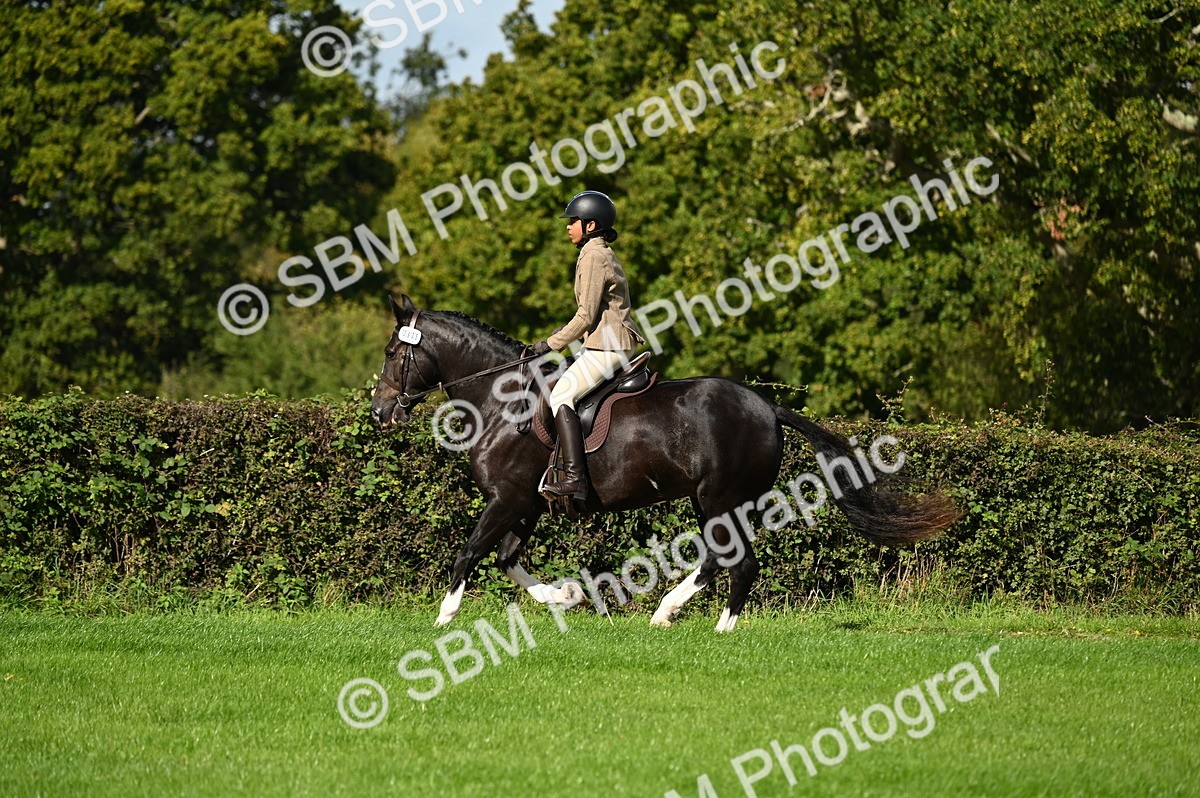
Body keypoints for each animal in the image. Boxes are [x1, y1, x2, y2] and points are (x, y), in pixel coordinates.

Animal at [371, 295, 960, 631]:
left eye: (391, 353)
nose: (379, 413)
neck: (501, 400)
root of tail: (765, 406)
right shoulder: (527, 504)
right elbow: (507, 560)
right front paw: (570, 596)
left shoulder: (505, 498)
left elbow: (469, 554)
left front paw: (444, 618)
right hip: (718, 500)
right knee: (725, 560)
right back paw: (685, 617)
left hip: (717, 498)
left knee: (734, 561)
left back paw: (694, 621)